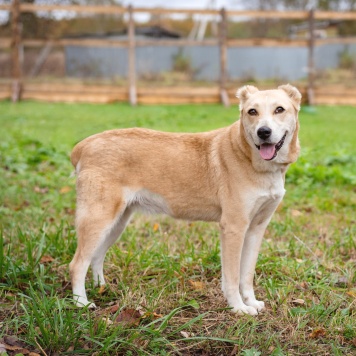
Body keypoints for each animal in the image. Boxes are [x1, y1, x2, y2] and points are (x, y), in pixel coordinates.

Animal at [69, 85, 300, 316]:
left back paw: (102, 288)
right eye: (252, 112)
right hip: (98, 220)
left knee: (96, 257)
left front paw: (250, 301)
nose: (263, 132)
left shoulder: (256, 229)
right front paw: (238, 308)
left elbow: (247, 274)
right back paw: (81, 303)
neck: (249, 156)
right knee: (78, 264)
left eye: (279, 109)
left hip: (117, 223)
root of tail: (84, 145)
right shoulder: (233, 228)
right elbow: (232, 277)